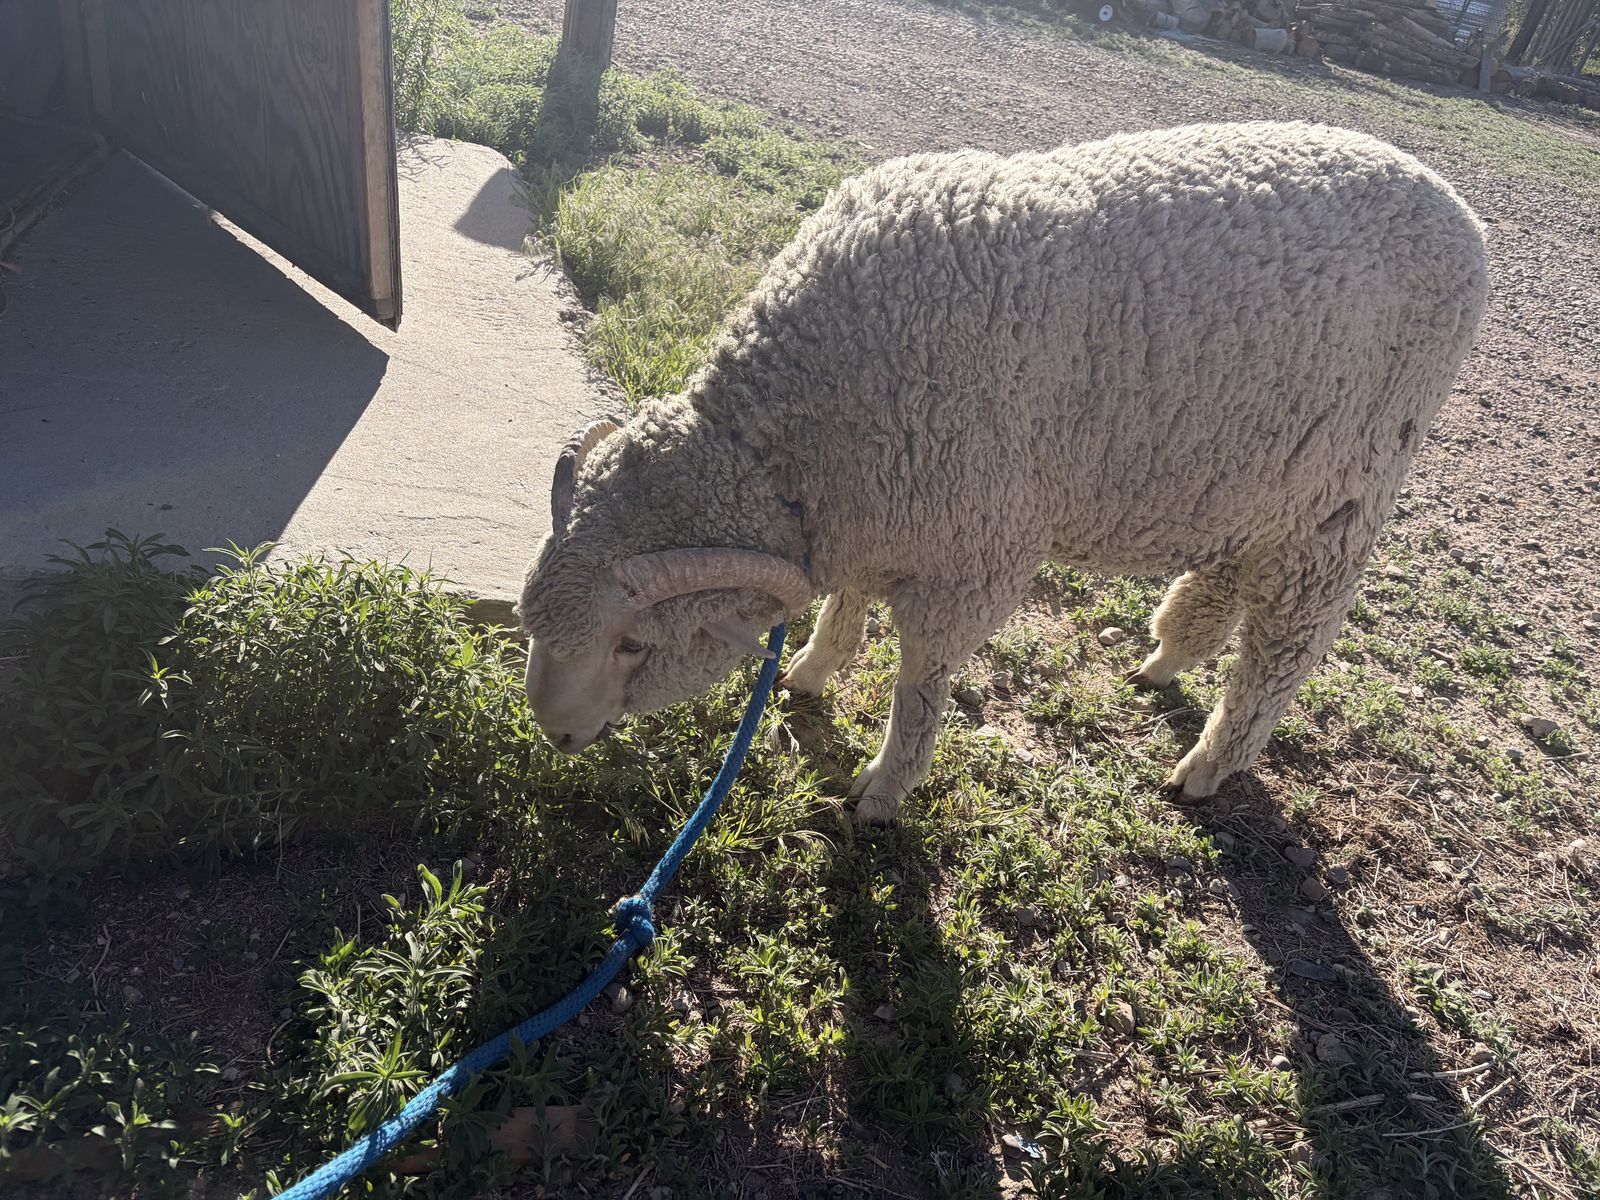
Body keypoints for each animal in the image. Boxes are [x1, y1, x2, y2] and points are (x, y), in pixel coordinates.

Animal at [517, 120, 1489, 824]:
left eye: (632, 644)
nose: (553, 734)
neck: (801, 436)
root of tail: (1457, 210)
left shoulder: (972, 551)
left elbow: (919, 684)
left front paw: (882, 791)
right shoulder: (882, 504)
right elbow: (847, 600)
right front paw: (810, 671)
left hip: (1346, 490)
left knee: (1286, 646)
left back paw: (1207, 767)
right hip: (1253, 477)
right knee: (1221, 579)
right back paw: (1165, 659)